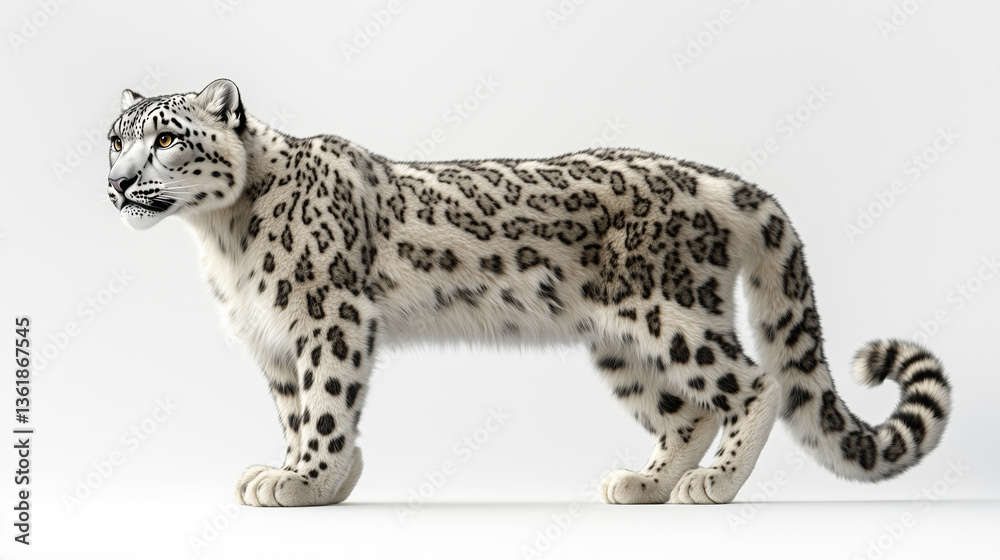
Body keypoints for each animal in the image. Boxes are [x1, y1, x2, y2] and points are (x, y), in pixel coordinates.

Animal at [105, 79, 952, 506]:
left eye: (168, 137)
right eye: (115, 138)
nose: (116, 183)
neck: (222, 239)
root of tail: (712, 178)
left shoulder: (328, 318)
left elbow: (325, 406)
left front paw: (306, 478)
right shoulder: (276, 338)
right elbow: (295, 409)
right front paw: (317, 479)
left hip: (668, 311)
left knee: (753, 381)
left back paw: (713, 484)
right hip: (619, 344)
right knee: (687, 411)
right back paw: (643, 484)